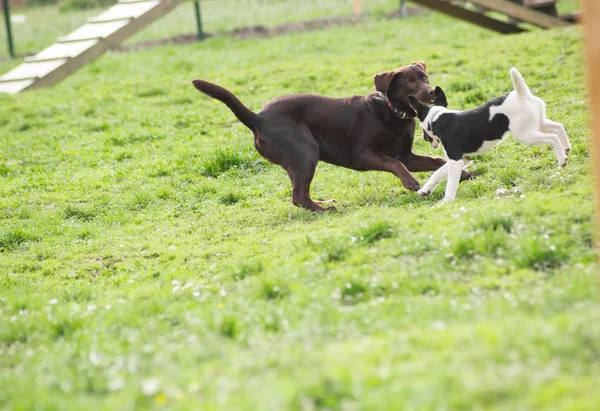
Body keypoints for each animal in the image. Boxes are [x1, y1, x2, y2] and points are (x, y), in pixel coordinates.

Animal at [192, 63, 468, 216]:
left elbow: (434, 161)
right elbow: (394, 164)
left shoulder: (407, 155)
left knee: (299, 193)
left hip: (296, 161)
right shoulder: (363, 155)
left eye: (425, 78)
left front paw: (463, 173)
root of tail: (257, 117)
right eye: (410, 82)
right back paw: (324, 211)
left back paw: (321, 204)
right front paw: (410, 182)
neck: (392, 111)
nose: (431, 92)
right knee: (298, 195)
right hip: (306, 152)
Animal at [410, 68, 568, 204]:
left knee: (553, 137)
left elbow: (450, 184)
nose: (425, 139)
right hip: (538, 123)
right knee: (558, 127)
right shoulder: (463, 159)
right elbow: (437, 173)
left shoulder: (456, 161)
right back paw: (566, 149)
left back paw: (562, 160)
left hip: (525, 135)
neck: (438, 118)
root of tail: (521, 95)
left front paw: (446, 203)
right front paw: (425, 190)